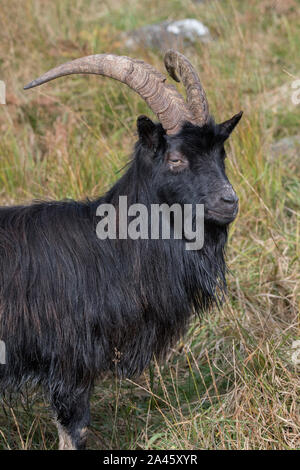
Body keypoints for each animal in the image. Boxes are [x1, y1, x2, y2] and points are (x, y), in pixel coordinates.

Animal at [0, 49, 243, 450]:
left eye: (220, 154)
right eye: (175, 159)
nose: (229, 201)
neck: (111, 247)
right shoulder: (70, 363)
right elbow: (73, 428)